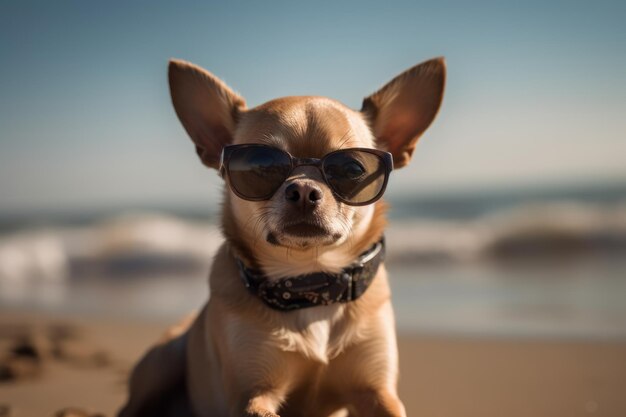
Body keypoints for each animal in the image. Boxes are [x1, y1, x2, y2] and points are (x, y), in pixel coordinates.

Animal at [118, 56, 444, 416]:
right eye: (260, 166)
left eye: (353, 169)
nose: (303, 190)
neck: (310, 285)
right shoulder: (253, 394)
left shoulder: (376, 392)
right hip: (162, 361)